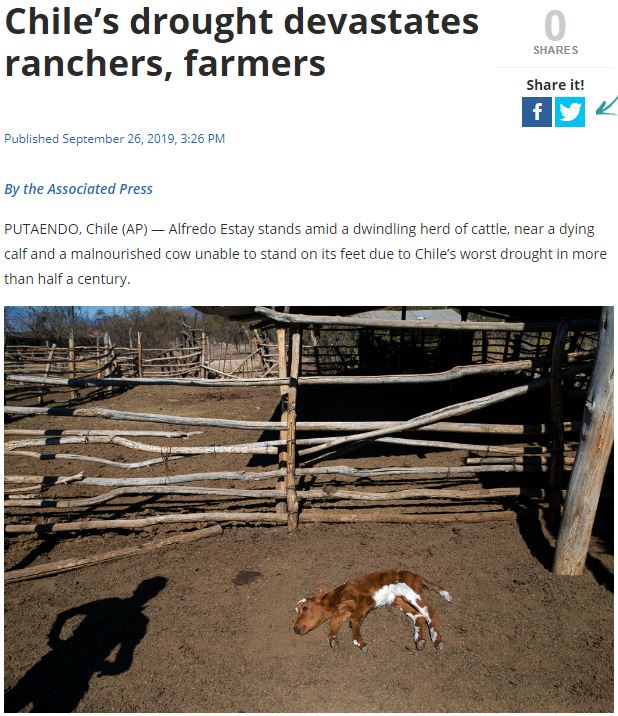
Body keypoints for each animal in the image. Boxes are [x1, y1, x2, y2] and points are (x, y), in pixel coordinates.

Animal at [292, 568, 450, 652]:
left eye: (305, 608)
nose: (295, 628)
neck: (338, 598)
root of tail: (415, 575)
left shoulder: (364, 601)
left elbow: (354, 620)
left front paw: (360, 643)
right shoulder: (343, 612)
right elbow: (334, 622)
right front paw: (333, 639)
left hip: (406, 590)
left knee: (429, 609)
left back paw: (437, 640)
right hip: (398, 600)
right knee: (418, 615)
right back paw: (420, 641)